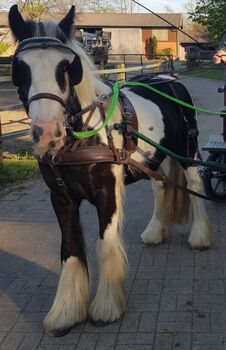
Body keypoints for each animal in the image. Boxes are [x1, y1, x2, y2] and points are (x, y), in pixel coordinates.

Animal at [8, 4, 213, 336]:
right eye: (19, 68)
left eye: (66, 66)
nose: (47, 133)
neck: (83, 136)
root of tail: (169, 78)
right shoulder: (61, 199)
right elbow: (70, 249)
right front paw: (66, 313)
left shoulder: (107, 195)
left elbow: (105, 245)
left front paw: (106, 309)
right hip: (153, 158)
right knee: (161, 187)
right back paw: (155, 231)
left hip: (187, 152)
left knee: (194, 186)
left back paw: (200, 237)